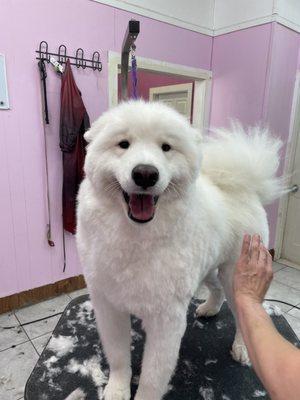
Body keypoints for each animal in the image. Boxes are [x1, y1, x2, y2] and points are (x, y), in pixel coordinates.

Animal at [76, 101, 282, 400]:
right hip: (207, 267)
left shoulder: (166, 319)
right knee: (216, 289)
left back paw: (242, 348)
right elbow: (118, 357)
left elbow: (152, 376)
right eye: (123, 144)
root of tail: (245, 185)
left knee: (246, 311)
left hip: (235, 273)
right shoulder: (109, 306)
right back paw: (209, 308)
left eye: (166, 147)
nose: (145, 173)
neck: (135, 236)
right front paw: (117, 389)